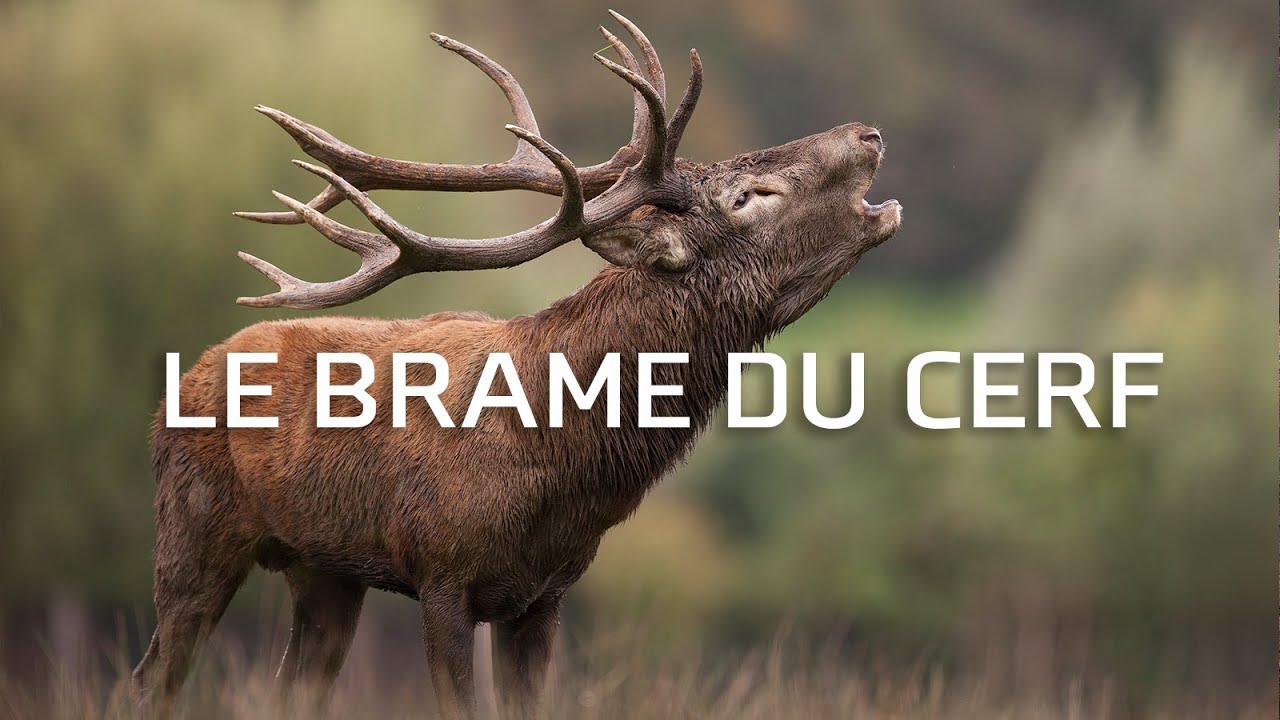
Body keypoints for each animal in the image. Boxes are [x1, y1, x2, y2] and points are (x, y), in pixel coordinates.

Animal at [132, 12, 901, 719]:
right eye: (749, 197)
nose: (868, 134)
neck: (557, 463)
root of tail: (180, 386)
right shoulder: (441, 574)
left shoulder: (544, 593)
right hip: (191, 531)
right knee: (152, 677)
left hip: (323, 570)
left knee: (289, 687)